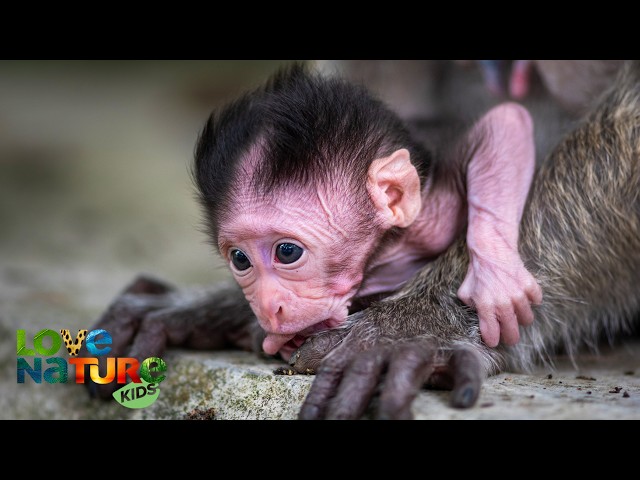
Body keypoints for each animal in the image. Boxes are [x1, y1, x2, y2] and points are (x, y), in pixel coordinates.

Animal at [82, 60, 640, 421]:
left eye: (287, 252)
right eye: (240, 259)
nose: (267, 304)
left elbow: (503, 130)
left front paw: (417, 323)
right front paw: (227, 309)